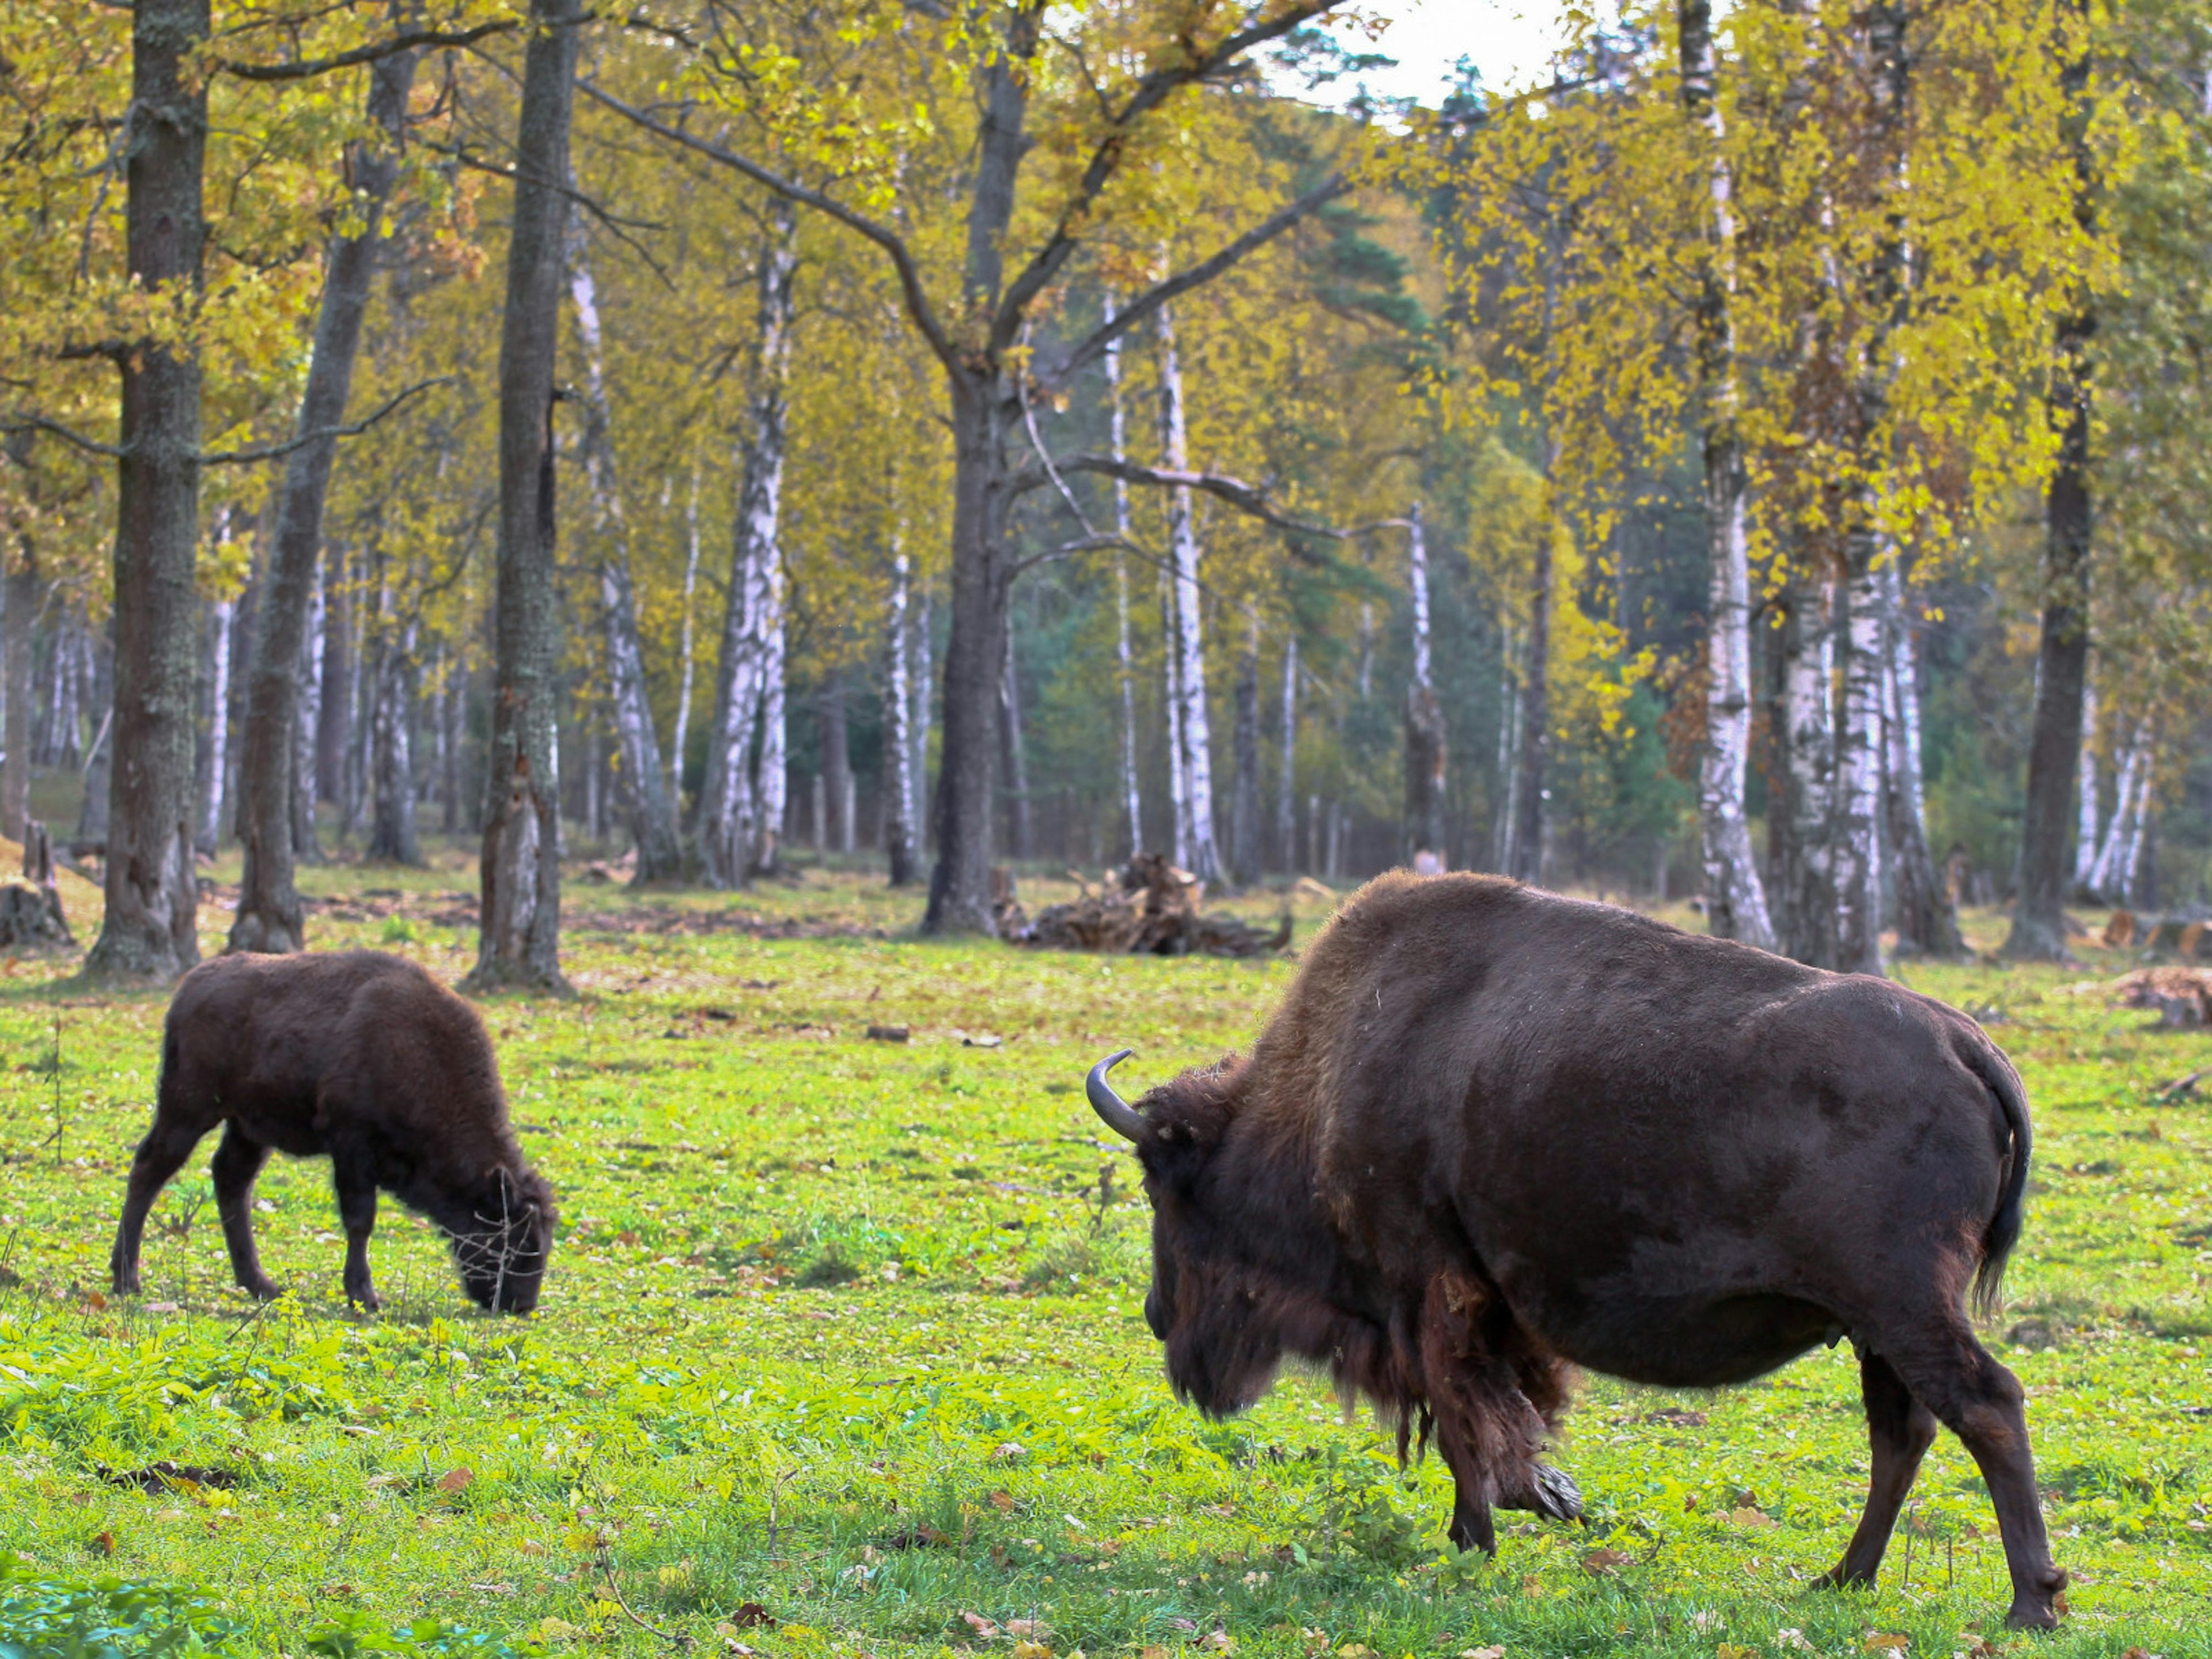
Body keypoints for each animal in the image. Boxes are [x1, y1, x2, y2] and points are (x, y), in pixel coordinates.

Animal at [111, 955, 562, 1318]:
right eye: (513, 1239)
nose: (521, 1305)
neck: (416, 1053)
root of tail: (191, 986)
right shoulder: (351, 1148)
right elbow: (360, 1220)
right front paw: (365, 1297)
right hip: (189, 1108)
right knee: (151, 1169)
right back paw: (126, 1280)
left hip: (248, 1127)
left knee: (230, 1180)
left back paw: (263, 1286)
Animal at [1097, 876, 2061, 1628]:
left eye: (1167, 1191)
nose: (1158, 1319)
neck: (1327, 1079)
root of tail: (1965, 1042)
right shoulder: (1477, 1304)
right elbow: (1486, 1416)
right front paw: (1523, 1511)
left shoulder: (1430, 1289)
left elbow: (1465, 1418)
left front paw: (1480, 1540)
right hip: (1875, 1326)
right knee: (1905, 1433)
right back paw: (1843, 1579)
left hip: (1902, 1305)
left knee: (1985, 1406)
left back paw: (2029, 1603)